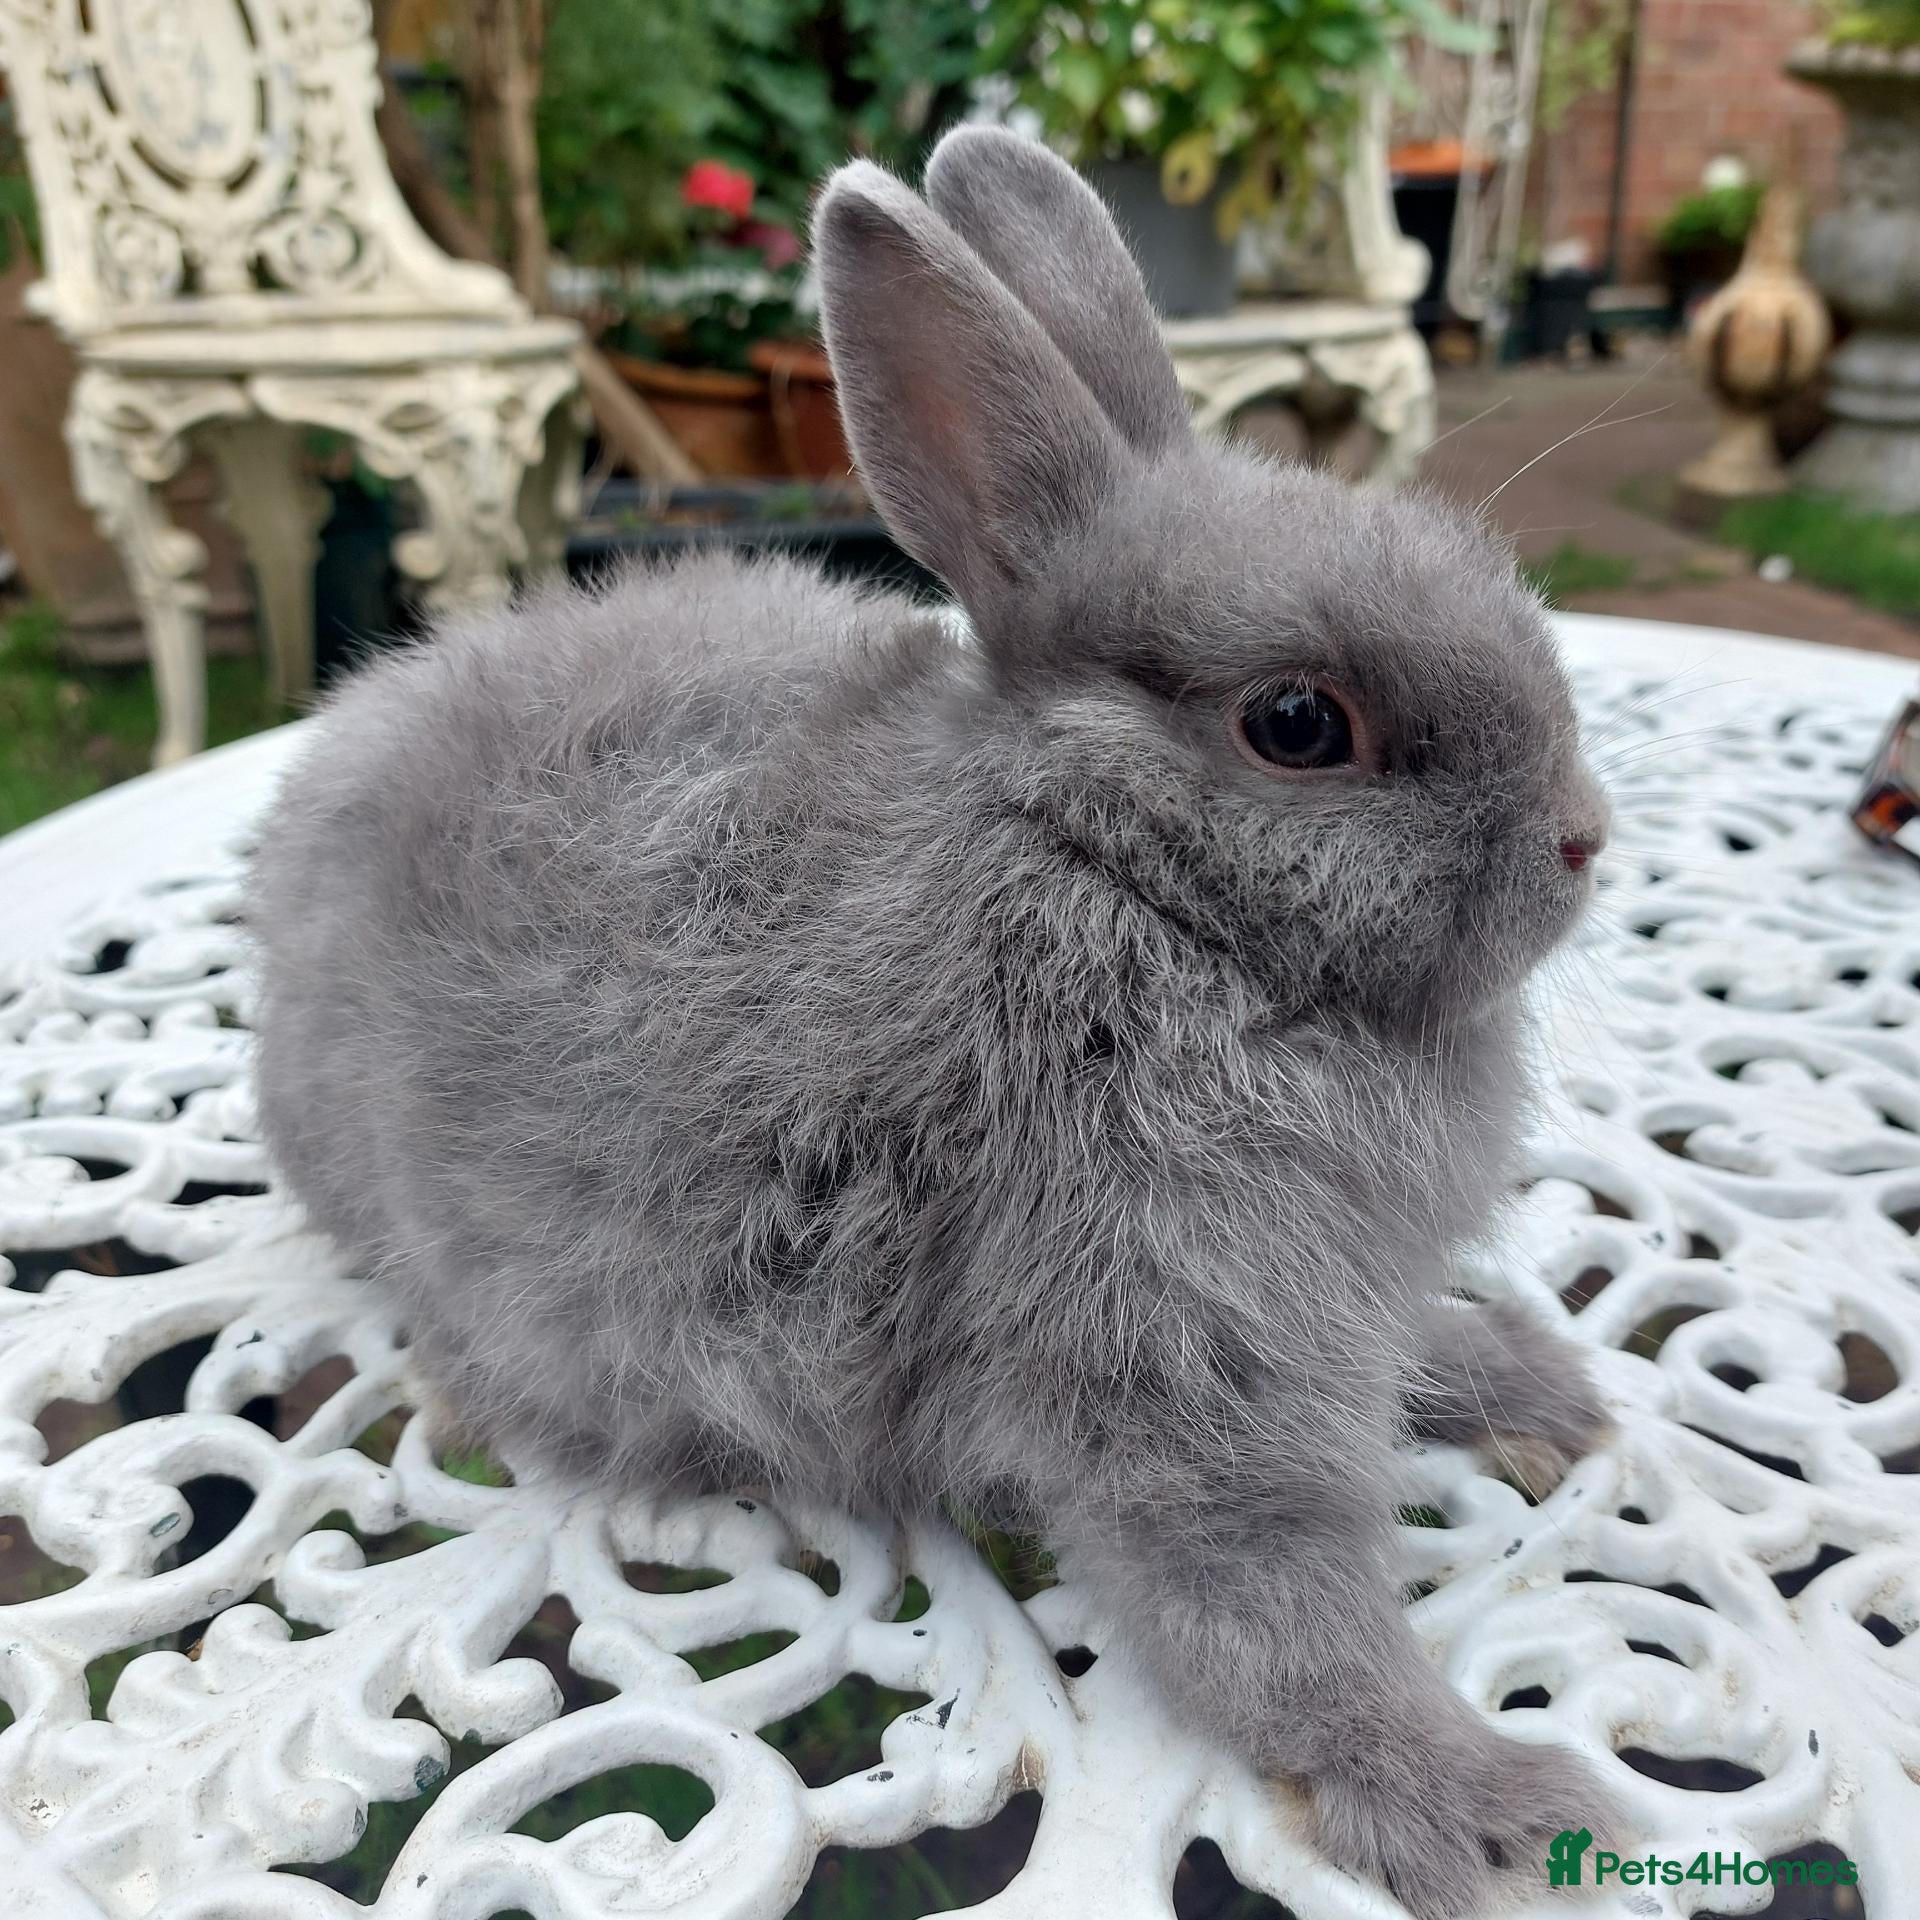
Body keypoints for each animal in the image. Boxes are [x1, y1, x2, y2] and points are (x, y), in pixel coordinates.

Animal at [248, 125, 1620, 1919]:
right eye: (1298, 723)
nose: (1583, 837)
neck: (1123, 878)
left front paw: (1528, 1389)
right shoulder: (1167, 1364)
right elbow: (1276, 1614)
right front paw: (1475, 1804)